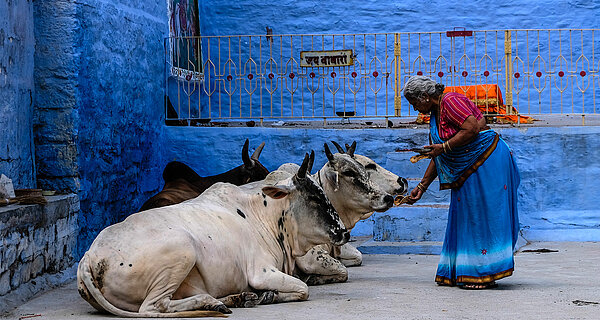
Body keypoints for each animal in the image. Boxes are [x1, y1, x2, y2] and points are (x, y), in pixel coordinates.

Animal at [75, 154, 350, 316]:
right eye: (314, 197)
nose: (343, 232)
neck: (265, 216)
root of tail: (89, 256)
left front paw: (263, 296)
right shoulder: (261, 272)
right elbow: (303, 288)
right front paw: (269, 296)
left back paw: (237, 298)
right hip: (183, 249)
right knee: (153, 307)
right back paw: (211, 302)